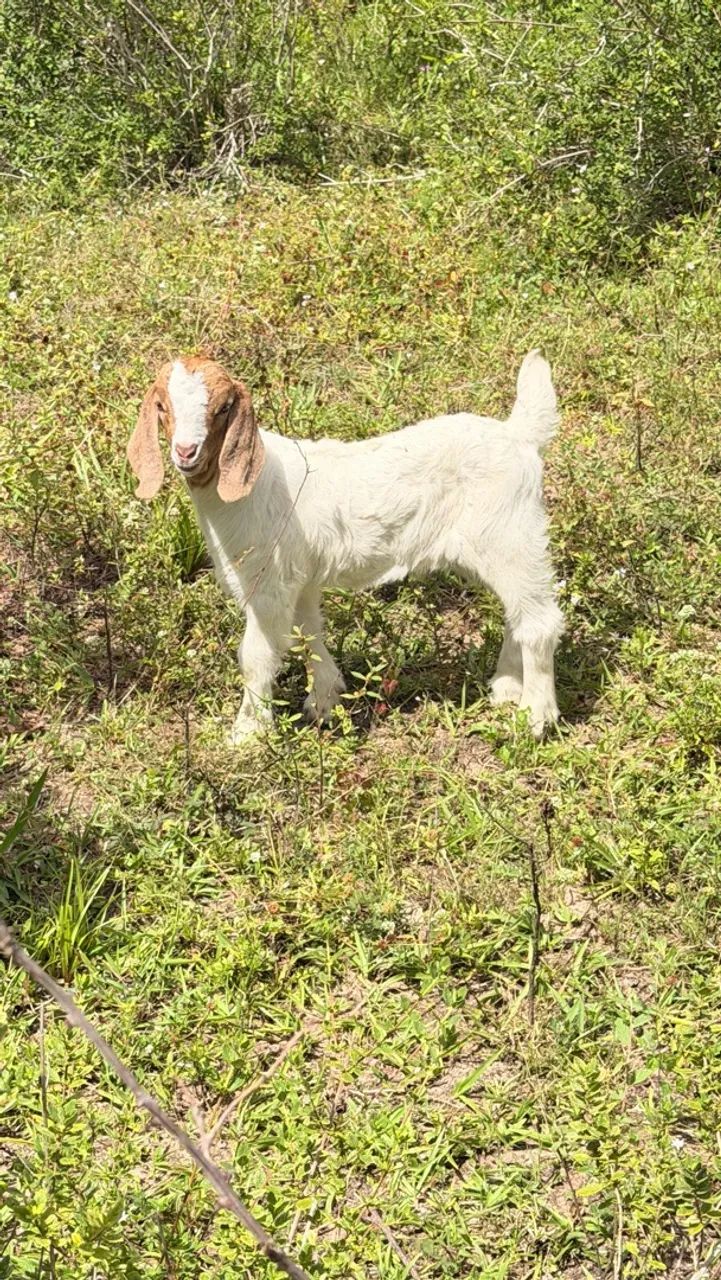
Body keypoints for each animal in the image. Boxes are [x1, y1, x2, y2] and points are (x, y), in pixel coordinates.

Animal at [127, 352, 564, 742]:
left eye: (222, 409)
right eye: (162, 406)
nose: (186, 452)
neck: (253, 484)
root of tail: (519, 435)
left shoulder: (269, 583)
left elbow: (256, 655)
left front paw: (248, 733)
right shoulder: (299, 578)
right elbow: (308, 633)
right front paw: (324, 700)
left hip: (512, 537)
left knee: (540, 622)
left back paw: (535, 718)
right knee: (518, 614)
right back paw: (506, 688)